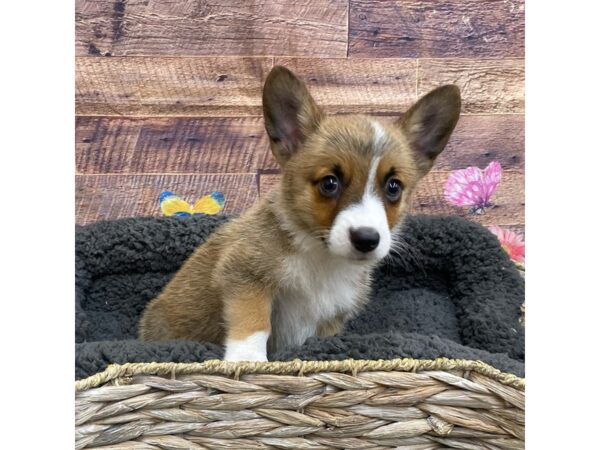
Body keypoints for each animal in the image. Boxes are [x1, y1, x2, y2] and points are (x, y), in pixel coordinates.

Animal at [138, 65, 462, 362]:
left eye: (393, 187)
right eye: (329, 183)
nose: (366, 239)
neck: (321, 256)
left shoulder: (330, 317)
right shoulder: (244, 276)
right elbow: (254, 323)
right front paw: (247, 360)